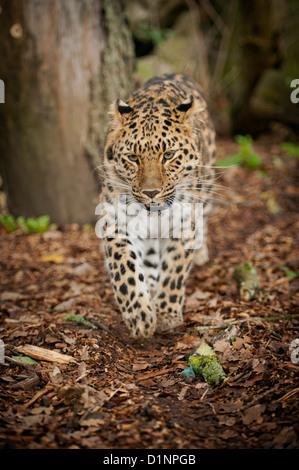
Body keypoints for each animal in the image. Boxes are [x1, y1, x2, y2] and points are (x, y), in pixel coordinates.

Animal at [97, 72, 217, 338]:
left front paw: (166, 314)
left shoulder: (183, 223)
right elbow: (125, 267)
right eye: (133, 157)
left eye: (169, 155)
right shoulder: (115, 223)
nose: (150, 193)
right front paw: (139, 315)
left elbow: (174, 269)